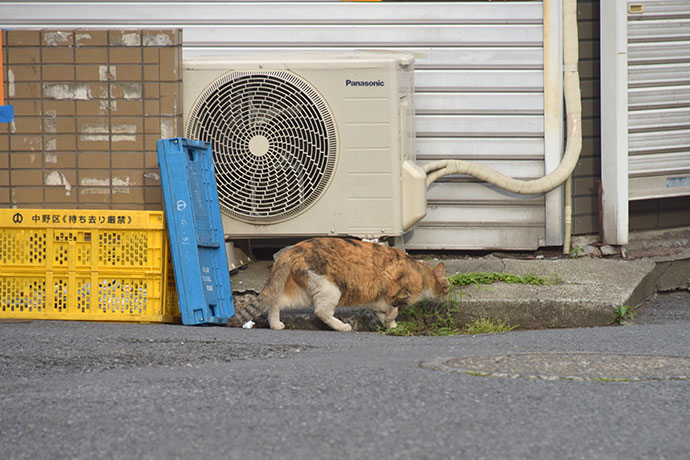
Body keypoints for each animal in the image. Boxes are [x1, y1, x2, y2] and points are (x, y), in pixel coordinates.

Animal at [228, 237, 448, 330]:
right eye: (447, 287)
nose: (448, 297)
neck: (420, 273)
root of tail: (292, 250)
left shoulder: (378, 302)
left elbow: (386, 313)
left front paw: (391, 325)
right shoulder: (393, 285)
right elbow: (395, 306)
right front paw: (392, 320)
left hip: (303, 293)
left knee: (276, 302)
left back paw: (275, 325)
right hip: (330, 288)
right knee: (321, 312)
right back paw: (342, 327)